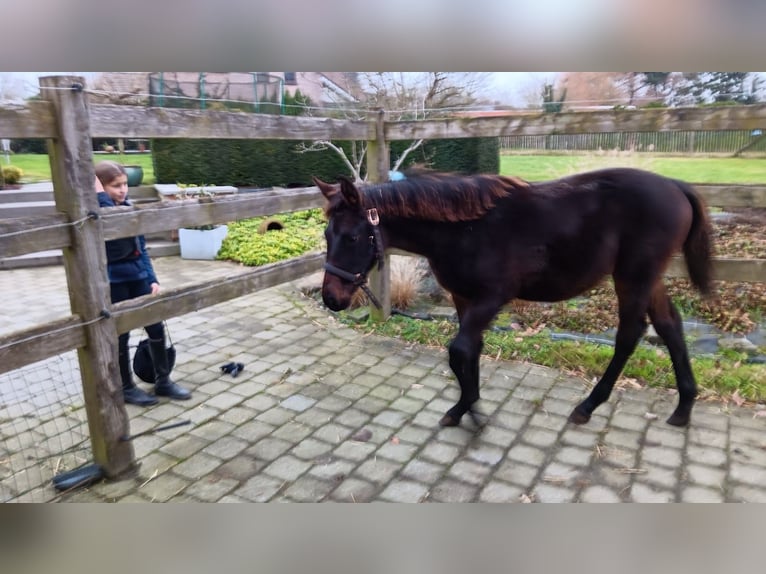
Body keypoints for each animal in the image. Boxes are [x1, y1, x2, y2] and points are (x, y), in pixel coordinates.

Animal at [314, 171, 712, 432]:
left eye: (352, 237)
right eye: (326, 234)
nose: (331, 298)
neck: (463, 230)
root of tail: (676, 186)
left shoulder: (494, 296)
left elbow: (459, 350)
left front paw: (472, 412)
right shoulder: (464, 297)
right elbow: (471, 349)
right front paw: (465, 406)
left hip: (634, 277)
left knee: (630, 334)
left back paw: (587, 407)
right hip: (649, 279)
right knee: (670, 325)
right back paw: (684, 407)